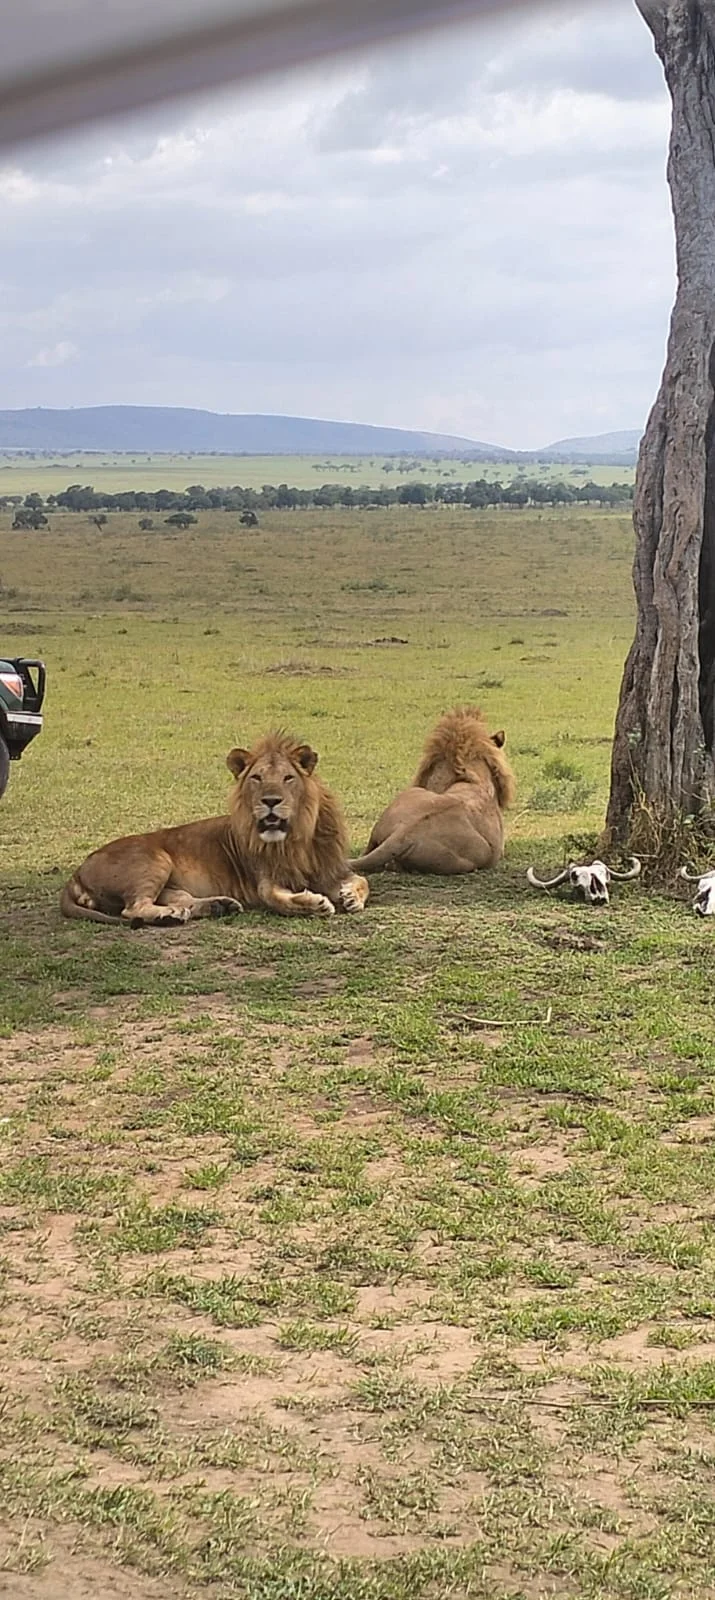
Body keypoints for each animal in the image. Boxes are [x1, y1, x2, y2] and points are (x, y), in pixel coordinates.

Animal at [60, 732, 369, 925]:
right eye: (257, 778)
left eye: (287, 778)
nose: (270, 801)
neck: (296, 839)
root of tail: (77, 871)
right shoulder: (266, 880)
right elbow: (277, 899)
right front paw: (315, 905)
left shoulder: (331, 869)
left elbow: (364, 881)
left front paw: (352, 897)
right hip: (154, 860)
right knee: (132, 908)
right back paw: (168, 916)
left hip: (172, 886)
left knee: (182, 901)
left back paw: (216, 906)